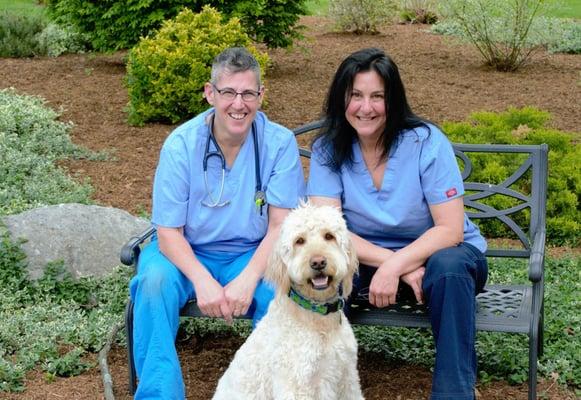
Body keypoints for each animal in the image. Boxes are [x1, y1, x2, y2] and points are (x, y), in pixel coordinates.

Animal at [213, 203, 362, 400]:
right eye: (299, 241)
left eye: (329, 236)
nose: (318, 262)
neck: (317, 316)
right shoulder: (297, 385)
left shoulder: (347, 377)